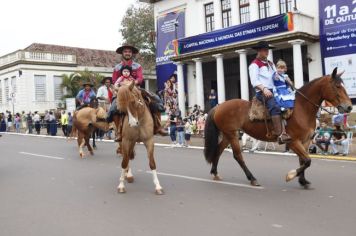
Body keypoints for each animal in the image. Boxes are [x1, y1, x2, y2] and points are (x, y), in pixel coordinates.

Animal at [204, 67, 352, 187]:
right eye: (337, 86)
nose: (349, 107)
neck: (302, 109)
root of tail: (219, 106)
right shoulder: (293, 142)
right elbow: (307, 161)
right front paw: (291, 175)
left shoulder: (305, 141)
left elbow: (303, 161)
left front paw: (303, 181)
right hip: (232, 134)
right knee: (238, 156)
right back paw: (252, 178)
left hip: (229, 134)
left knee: (219, 150)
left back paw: (215, 173)